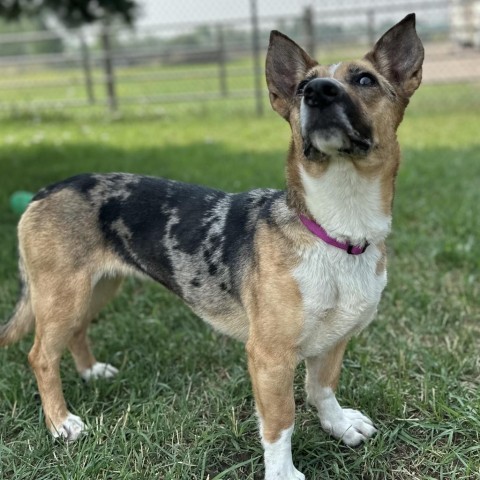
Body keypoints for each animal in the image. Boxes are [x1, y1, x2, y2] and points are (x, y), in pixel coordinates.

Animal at [1, 14, 424, 480]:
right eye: (301, 88)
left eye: (364, 79)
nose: (318, 92)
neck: (334, 230)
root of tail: (45, 190)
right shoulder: (269, 357)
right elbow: (281, 421)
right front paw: (283, 472)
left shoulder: (334, 338)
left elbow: (323, 388)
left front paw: (338, 424)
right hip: (62, 296)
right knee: (40, 356)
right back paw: (61, 423)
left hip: (96, 288)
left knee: (75, 333)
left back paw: (91, 371)